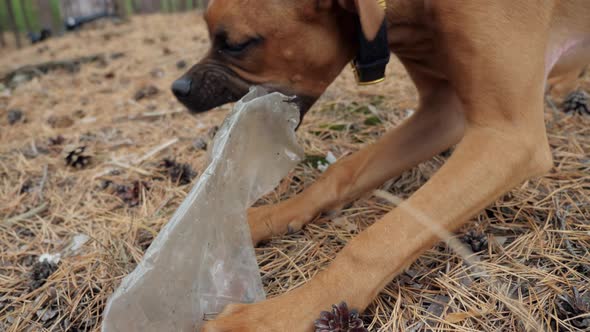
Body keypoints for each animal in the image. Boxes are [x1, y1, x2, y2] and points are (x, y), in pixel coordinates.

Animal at [172, 1, 590, 330]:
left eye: (236, 44)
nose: (179, 89)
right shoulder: (443, 113)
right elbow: (341, 172)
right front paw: (274, 214)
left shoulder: (506, 137)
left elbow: (380, 238)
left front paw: (278, 314)